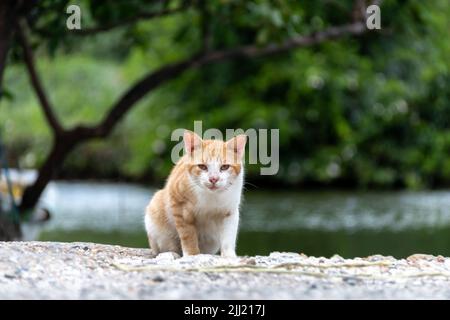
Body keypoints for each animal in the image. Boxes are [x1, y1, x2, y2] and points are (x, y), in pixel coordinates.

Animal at [145, 130, 246, 258]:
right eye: (202, 166)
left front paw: (229, 255)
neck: (211, 196)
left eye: (224, 167)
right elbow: (188, 235)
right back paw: (171, 253)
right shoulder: (180, 207)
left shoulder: (230, 211)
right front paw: (191, 254)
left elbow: (229, 236)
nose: (213, 179)